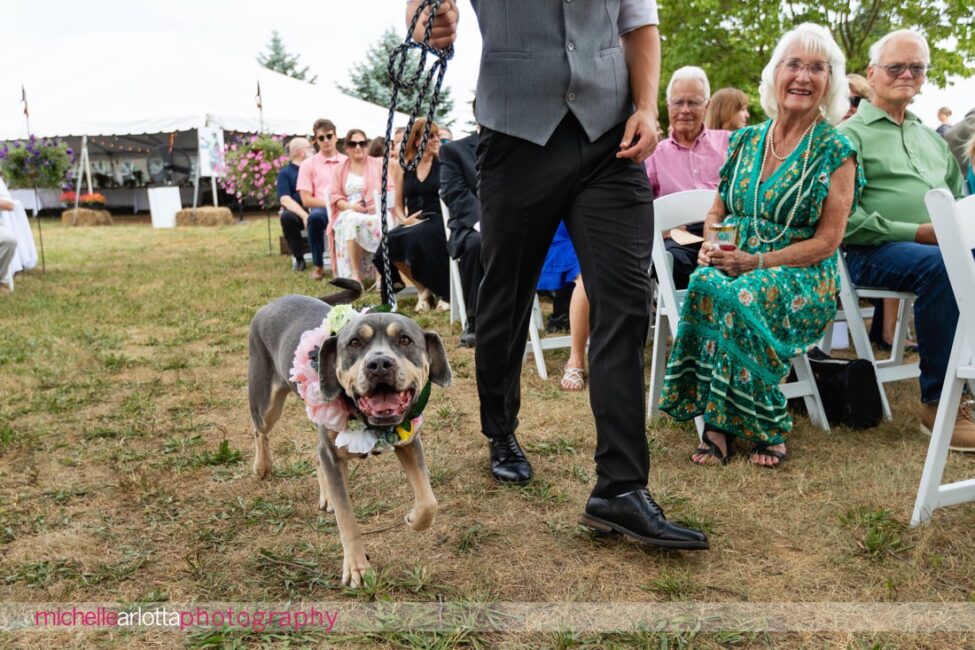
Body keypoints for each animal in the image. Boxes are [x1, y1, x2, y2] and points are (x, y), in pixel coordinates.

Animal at [250, 294, 452, 588]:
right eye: (354, 343)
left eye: (405, 340)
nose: (379, 364)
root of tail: (274, 301)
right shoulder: (334, 456)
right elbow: (347, 519)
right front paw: (356, 567)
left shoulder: (409, 441)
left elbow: (429, 501)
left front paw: (414, 519)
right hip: (266, 403)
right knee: (260, 431)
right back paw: (262, 466)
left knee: (315, 453)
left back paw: (326, 496)